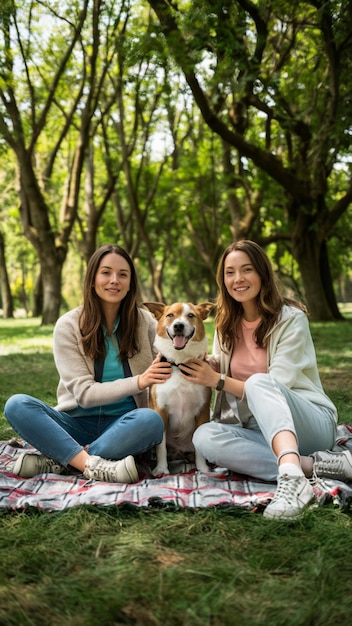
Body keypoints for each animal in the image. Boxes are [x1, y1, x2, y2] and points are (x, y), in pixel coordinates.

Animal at [142, 298, 213, 472]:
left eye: (190, 315)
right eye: (170, 315)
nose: (178, 326)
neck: (179, 363)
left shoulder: (203, 410)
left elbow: (199, 445)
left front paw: (203, 469)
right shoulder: (160, 410)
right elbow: (161, 447)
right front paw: (162, 469)